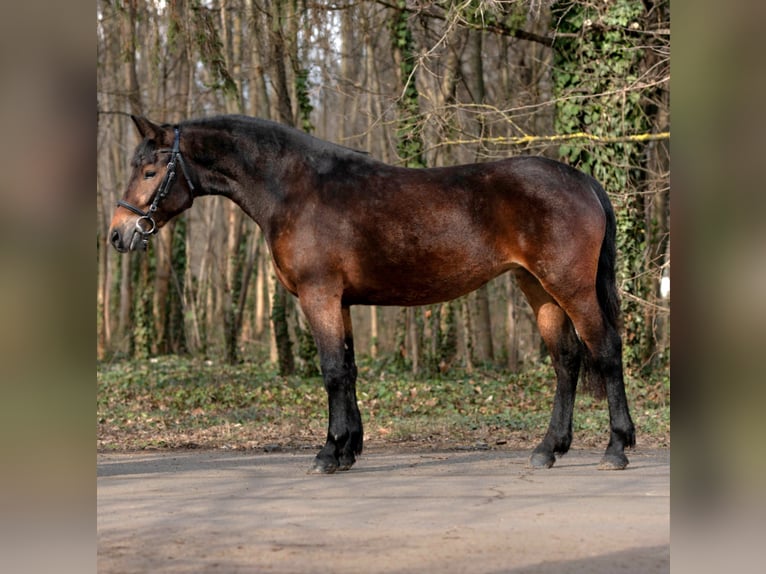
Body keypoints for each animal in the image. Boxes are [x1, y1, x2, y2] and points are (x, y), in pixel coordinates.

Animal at [108, 114, 635, 473]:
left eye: (150, 171)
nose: (119, 234)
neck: (295, 189)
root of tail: (582, 180)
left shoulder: (318, 296)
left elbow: (331, 372)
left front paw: (328, 452)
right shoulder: (340, 302)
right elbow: (349, 370)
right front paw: (347, 449)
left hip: (570, 288)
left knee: (606, 350)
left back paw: (616, 447)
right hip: (538, 289)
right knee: (566, 361)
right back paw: (549, 449)